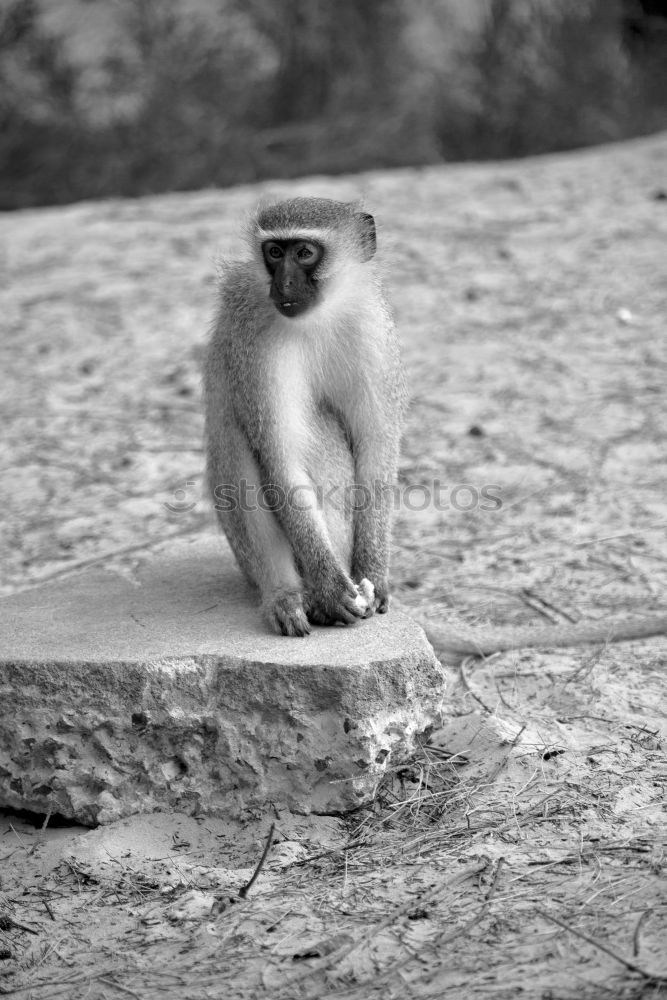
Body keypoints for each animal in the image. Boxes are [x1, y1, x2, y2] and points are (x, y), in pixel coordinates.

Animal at [204, 196, 404, 636]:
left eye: (305, 252)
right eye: (275, 253)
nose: (284, 285)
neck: (319, 318)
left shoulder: (372, 332)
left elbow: (376, 448)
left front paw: (373, 572)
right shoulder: (256, 345)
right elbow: (280, 460)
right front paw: (332, 587)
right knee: (240, 443)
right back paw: (290, 594)